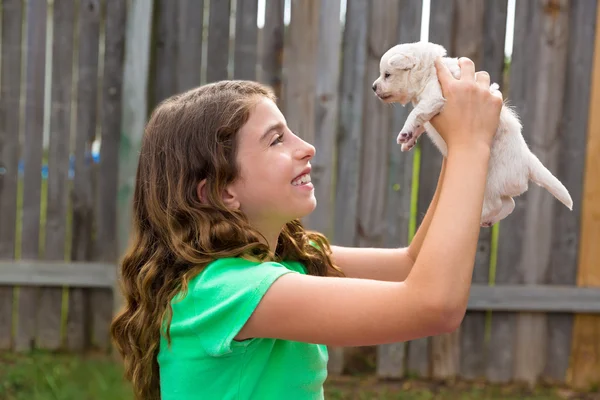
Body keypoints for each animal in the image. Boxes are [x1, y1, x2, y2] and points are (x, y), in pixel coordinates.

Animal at [372, 42, 576, 227]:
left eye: (387, 74)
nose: (373, 87)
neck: (428, 70)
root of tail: (528, 160)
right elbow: (421, 122)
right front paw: (409, 140)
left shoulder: (433, 98)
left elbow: (415, 113)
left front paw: (405, 132)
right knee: (509, 204)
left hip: (490, 182)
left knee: (497, 204)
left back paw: (477, 217)